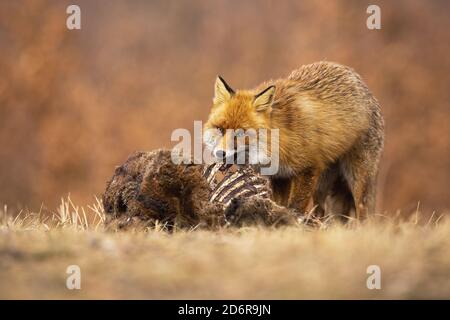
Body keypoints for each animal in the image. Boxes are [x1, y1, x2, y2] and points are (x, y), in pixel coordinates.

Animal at [204, 61, 384, 219]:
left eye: (241, 134)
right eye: (220, 129)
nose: (220, 153)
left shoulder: (308, 169)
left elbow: (295, 207)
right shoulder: (280, 177)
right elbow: (280, 204)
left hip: (358, 180)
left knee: (364, 212)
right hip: (322, 187)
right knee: (322, 211)